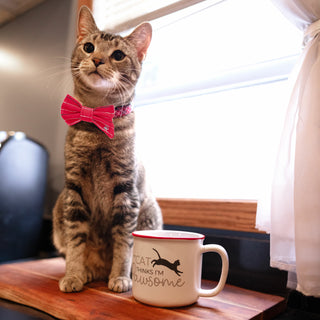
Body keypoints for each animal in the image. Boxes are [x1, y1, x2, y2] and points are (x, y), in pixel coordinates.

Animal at [53, 6, 162, 294]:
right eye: (89, 47)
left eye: (118, 55)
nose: (98, 60)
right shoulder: (74, 189)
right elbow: (76, 242)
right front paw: (74, 274)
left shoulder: (126, 192)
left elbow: (124, 243)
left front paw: (121, 276)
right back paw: (88, 271)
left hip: (150, 211)